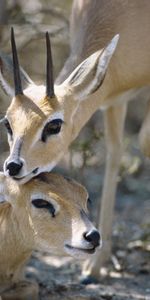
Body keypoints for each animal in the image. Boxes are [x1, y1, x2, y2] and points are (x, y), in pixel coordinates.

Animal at [0, 0, 149, 282]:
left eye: (54, 124)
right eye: (7, 123)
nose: (13, 165)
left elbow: (144, 140)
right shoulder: (114, 100)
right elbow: (114, 155)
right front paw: (95, 266)